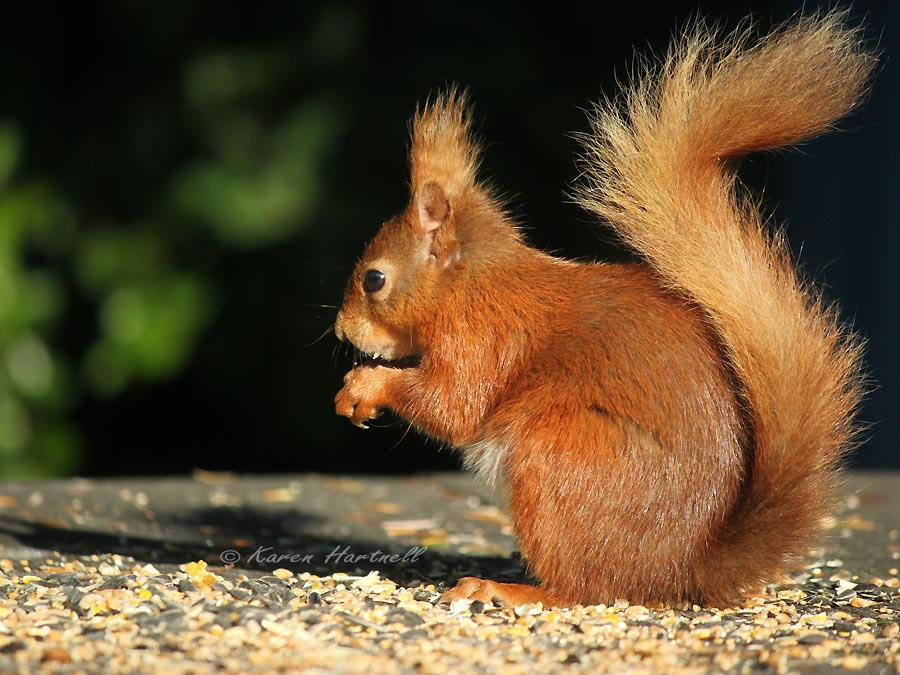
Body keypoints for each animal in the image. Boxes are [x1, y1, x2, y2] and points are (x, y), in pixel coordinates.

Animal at [330, 14, 872, 608]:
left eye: (374, 279)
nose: (341, 330)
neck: (473, 285)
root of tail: (678, 570)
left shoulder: (486, 337)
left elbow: (454, 405)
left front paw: (366, 385)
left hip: (560, 459)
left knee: (584, 589)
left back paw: (508, 589)